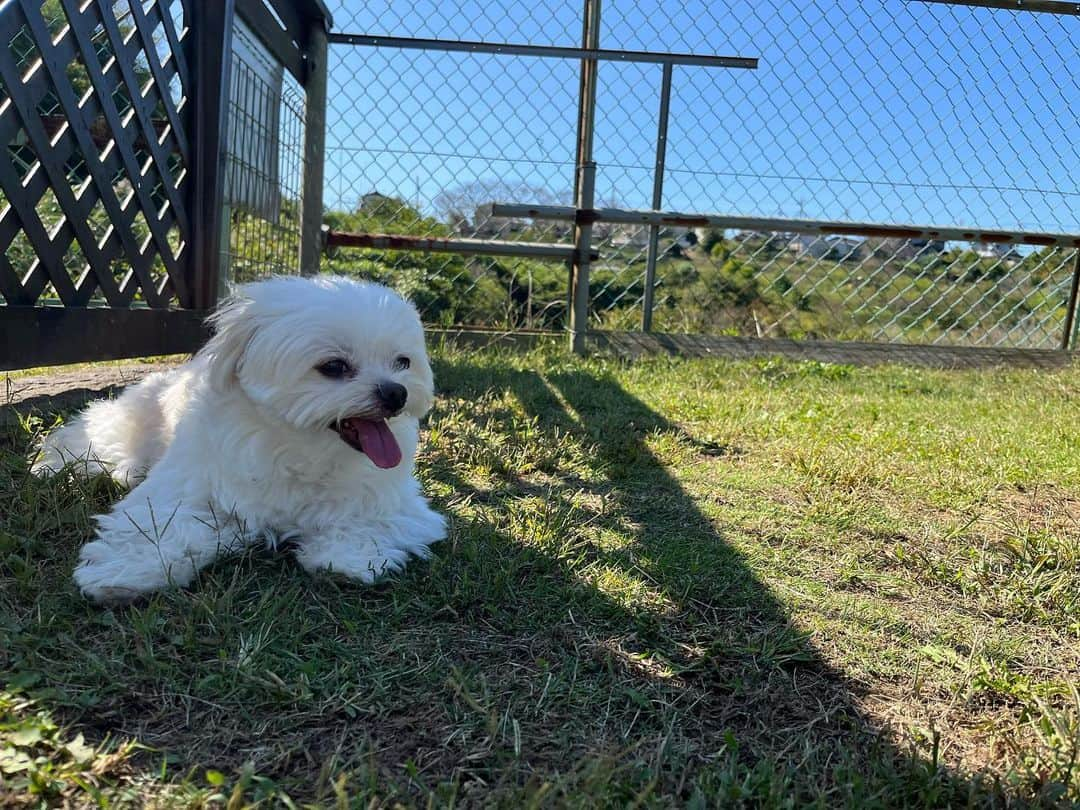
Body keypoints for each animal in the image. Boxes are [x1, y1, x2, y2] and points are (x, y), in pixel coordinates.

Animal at [32, 276, 447, 600]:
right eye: (334, 366)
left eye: (403, 362)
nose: (396, 393)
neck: (301, 448)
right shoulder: (183, 488)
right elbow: (162, 526)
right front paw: (125, 572)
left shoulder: (400, 506)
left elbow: (366, 521)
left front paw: (351, 557)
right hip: (126, 424)